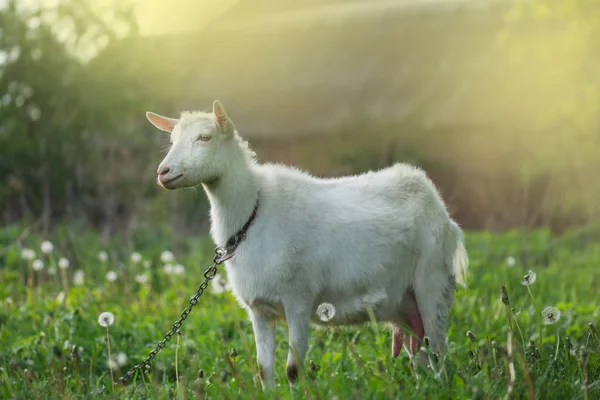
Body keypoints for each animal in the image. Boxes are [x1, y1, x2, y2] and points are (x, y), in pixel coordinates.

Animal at [146, 100, 468, 388]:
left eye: (205, 137)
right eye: (172, 140)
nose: (163, 172)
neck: (254, 213)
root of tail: (439, 208)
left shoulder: (298, 299)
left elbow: (292, 370)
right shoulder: (259, 309)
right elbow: (264, 370)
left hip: (433, 282)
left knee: (438, 352)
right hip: (404, 303)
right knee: (422, 353)